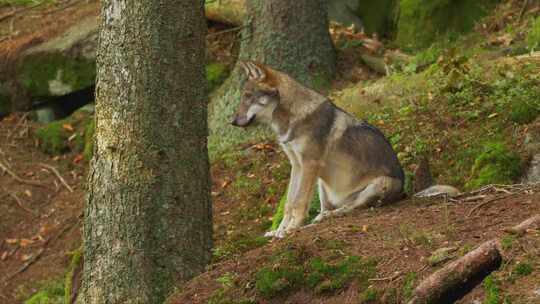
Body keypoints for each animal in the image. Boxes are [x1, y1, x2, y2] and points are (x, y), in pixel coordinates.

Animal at [231, 61, 404, 238]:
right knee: (324, 210)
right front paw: (279, 230)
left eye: (248, 96)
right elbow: (289, 203)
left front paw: (290, 229)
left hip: (380, 183)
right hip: (321, 182)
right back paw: (315, 221)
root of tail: (403, 191)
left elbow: (299, 202)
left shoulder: (310, 163)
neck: (290, 119)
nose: (233, 122)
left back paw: (332, 215)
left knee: (353, 207)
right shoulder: (297, 165)